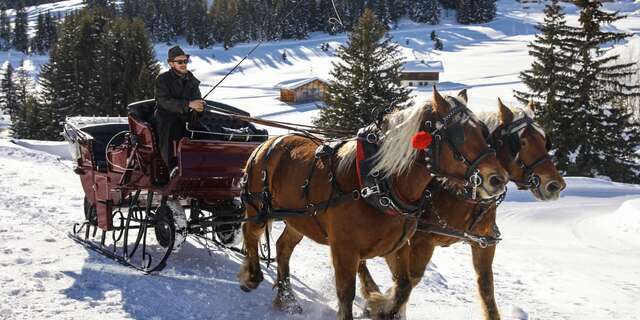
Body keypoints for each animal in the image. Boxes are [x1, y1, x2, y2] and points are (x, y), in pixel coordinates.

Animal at [238, 88, 508, 320]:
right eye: (459, 134)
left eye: (483, 131)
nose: (498, 179)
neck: (379, 184)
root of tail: (265, 144)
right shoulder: (345, 249)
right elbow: (346, 295)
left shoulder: (396, 246)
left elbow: (404, 285)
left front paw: (380, 307)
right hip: (258, 209)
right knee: (249, 231)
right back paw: (252, 277)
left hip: (299, 220)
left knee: (283, 247)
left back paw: (287, 299)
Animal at [358, 99, 568, 318]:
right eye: (522, 142)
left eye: (544, 140)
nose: (555, 185)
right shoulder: (419, 241)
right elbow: (410, 279)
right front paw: (382, 305)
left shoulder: (483, 244)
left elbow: (486, 289)